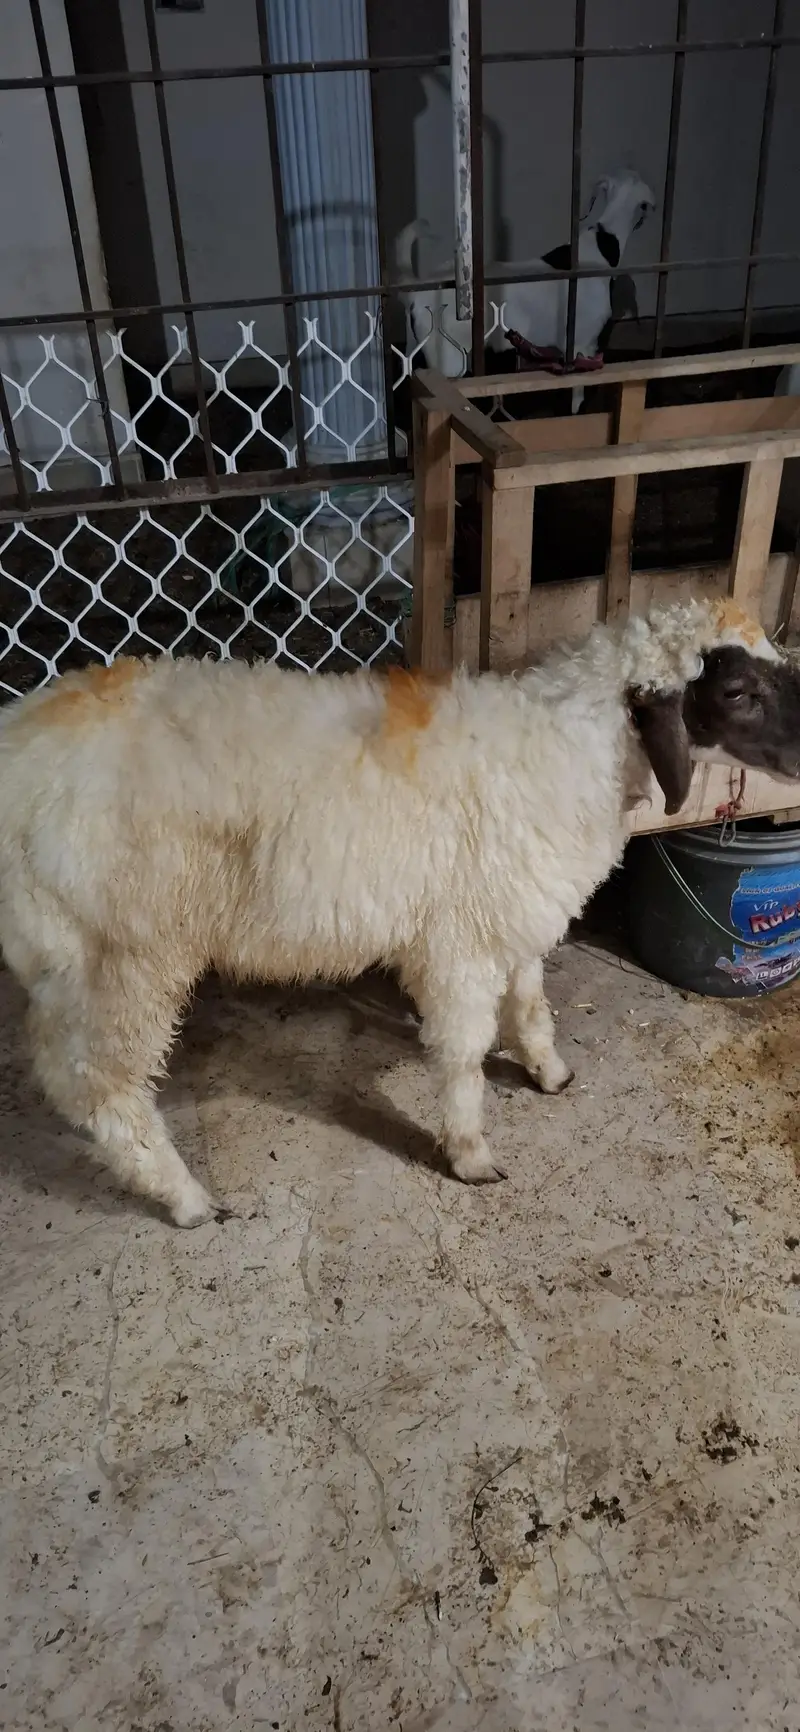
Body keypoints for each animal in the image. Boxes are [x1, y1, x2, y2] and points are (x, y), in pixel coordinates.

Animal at [1, 596, 799, 1228]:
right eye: (735, 689)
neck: (565, 753)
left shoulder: (511, 913)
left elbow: (531, 1001)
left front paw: (549, 1072)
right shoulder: (461, 941)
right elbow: (464, 1053)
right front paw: (470, 1153)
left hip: (62, 959)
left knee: (59, 1070)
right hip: (124, 955)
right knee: (103, 1087)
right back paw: (185, 1199)